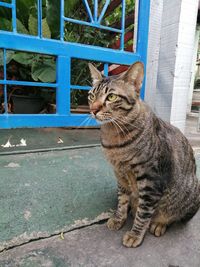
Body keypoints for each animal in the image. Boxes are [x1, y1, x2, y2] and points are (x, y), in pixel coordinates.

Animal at [88, 62, 200, 249]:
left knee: (173, 217)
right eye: (91, 95)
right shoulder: (120, 176)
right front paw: (119, 218)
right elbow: (122, 201)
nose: (93, 109)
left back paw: (159, 224)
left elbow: (144, 211)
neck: (114, 138)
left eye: (111, 97)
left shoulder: (151, 180)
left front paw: (135, 234)